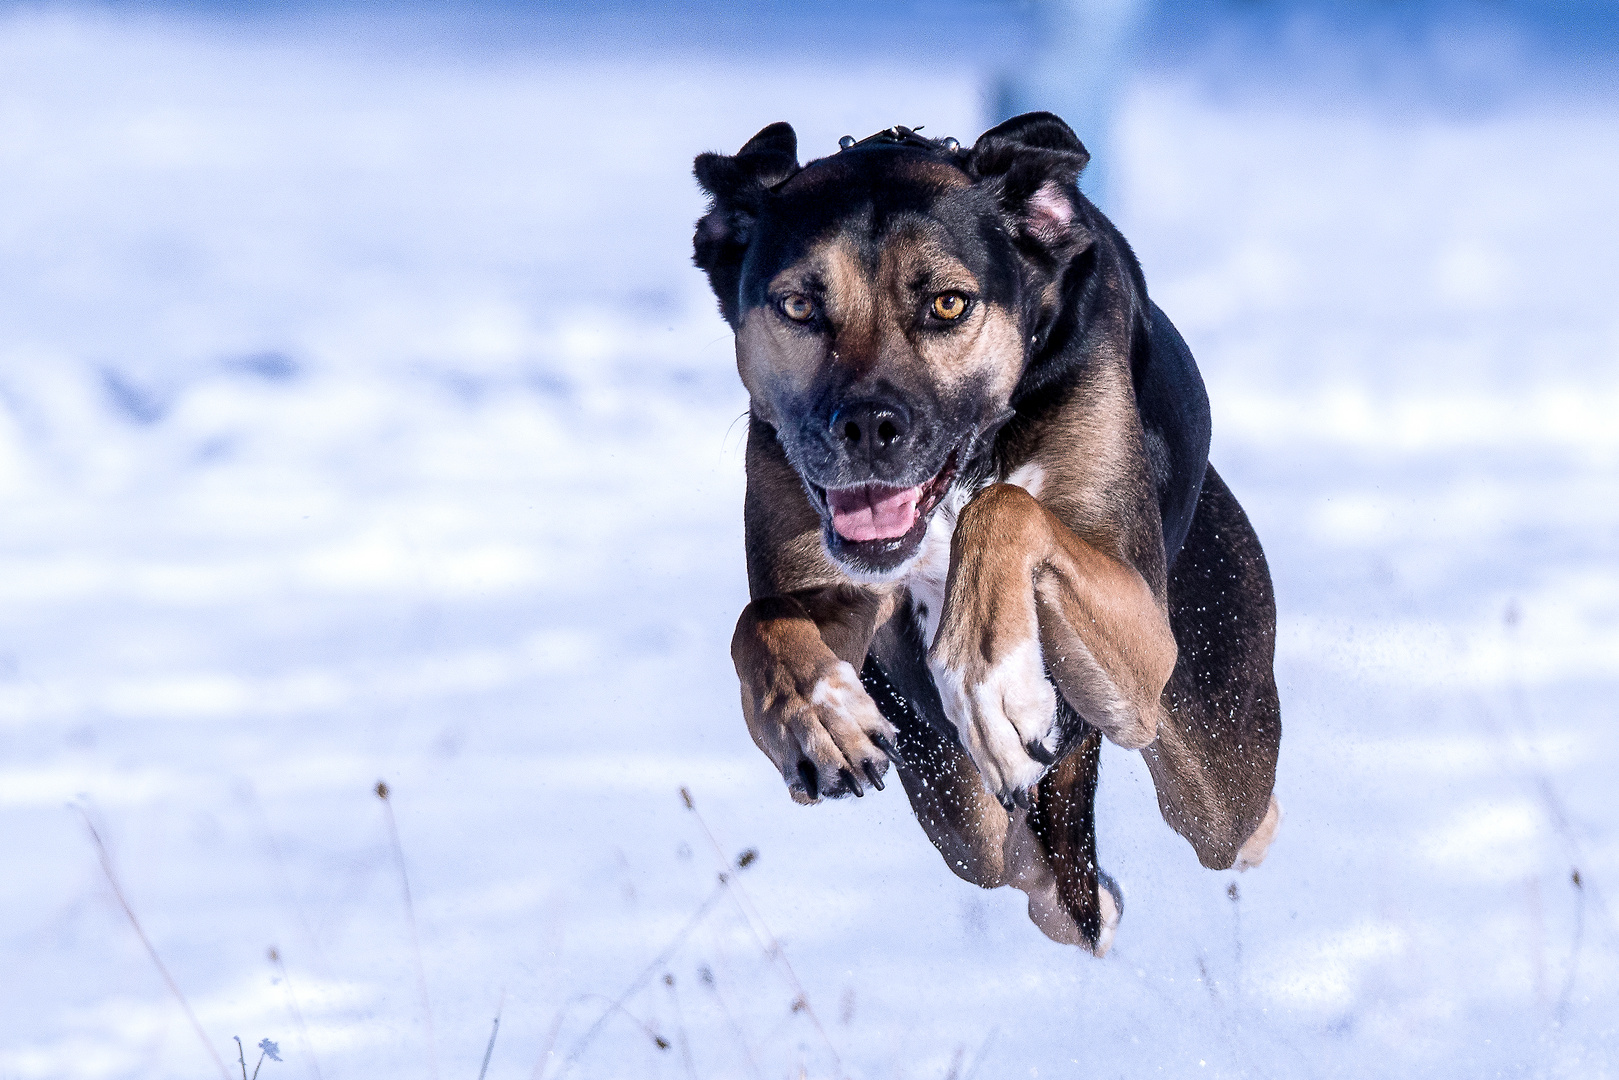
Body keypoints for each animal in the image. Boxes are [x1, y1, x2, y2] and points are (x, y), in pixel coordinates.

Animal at [689, 114, 1282, 952]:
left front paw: (992, 684)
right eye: (799, 306)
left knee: (1236, 824)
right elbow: (762, 619)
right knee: (1018, 867)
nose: (865, 428)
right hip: (951, 797)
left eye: (947, 304)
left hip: (1212, 734)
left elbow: (1004, 505)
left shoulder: (1144, 631)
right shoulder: (824, 563)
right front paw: (817, 719)